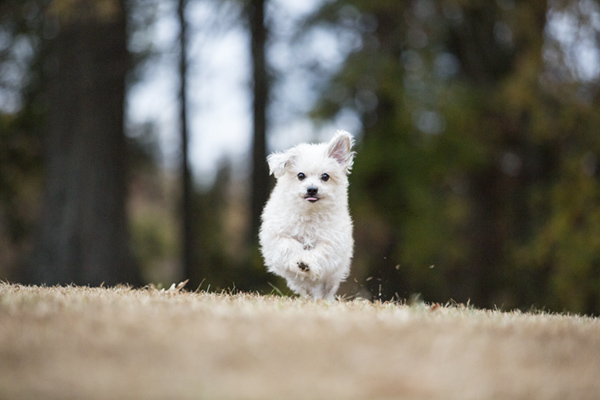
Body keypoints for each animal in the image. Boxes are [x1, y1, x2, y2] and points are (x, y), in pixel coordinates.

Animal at [258, 131, 356, 300]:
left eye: (325, 176)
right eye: (300, 175)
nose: (312, 189)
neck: (309, 212)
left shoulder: (333, 241)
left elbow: (321, 252)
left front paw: (307, 263)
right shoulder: (277, 235)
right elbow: (289, 244)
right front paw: (299, 259)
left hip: (333, 277)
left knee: (325, 289)